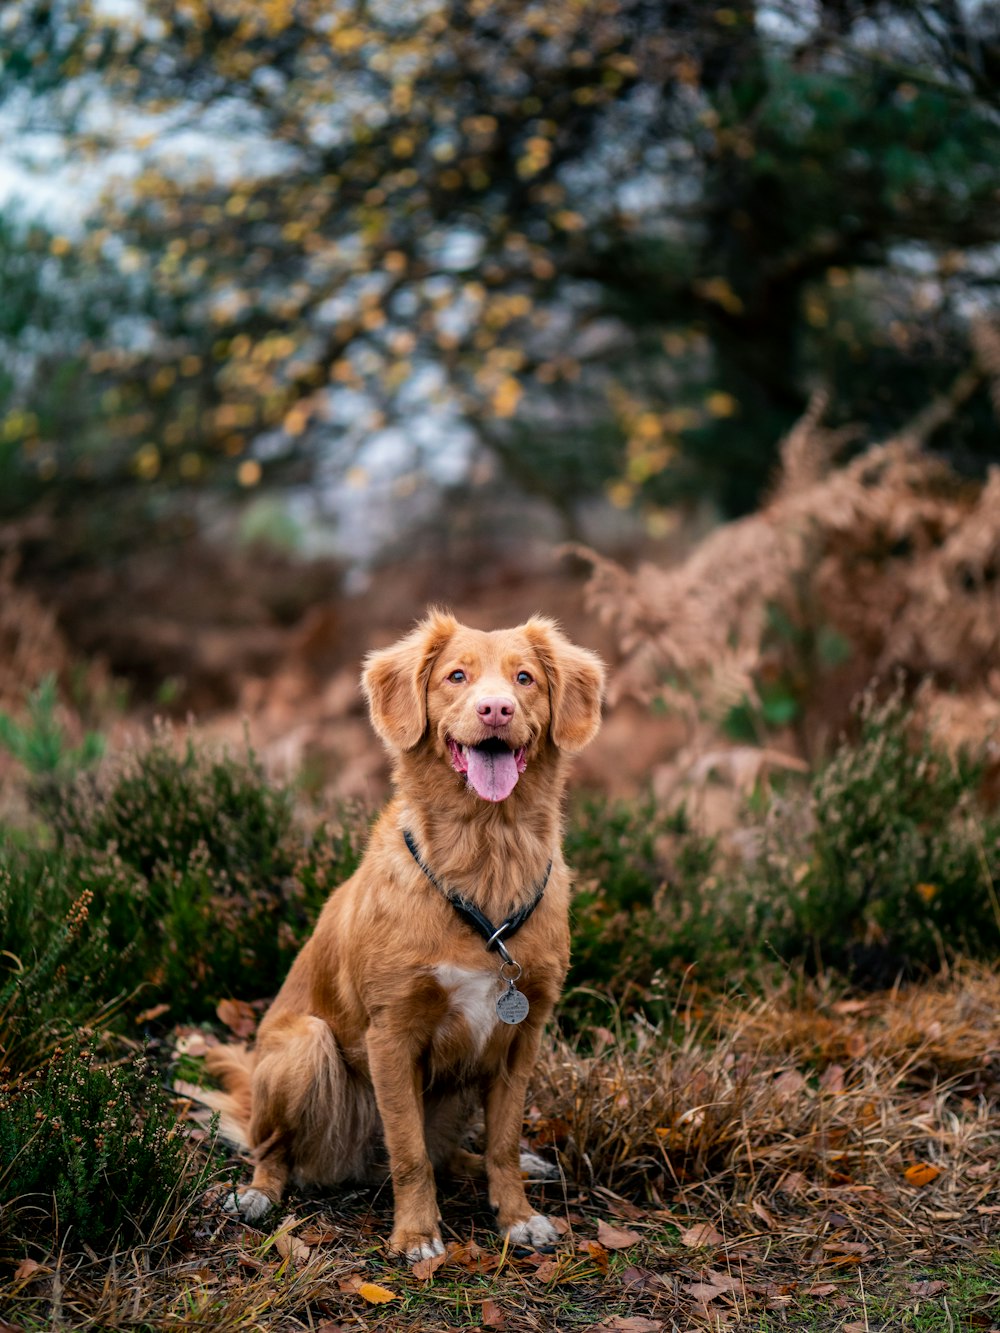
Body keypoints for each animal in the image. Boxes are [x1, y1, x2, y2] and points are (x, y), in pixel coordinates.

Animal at [205, 610, 602, 1253]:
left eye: (524, 678)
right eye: (456, 676)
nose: (496, 709)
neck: (487, 850)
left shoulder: (522, 1036)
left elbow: (500, 1143)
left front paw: (517, 1216)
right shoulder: (391, 1034)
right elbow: (409, 1154)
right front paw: (416, 1235)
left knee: (452, 1156)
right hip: (305, 1047)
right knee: (277, 1151)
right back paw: (259, 1194)